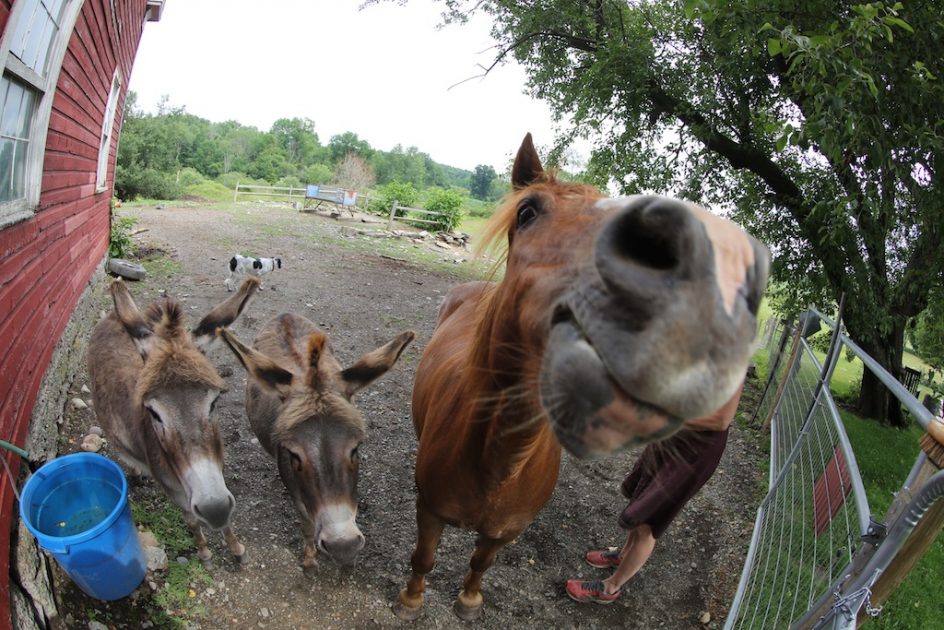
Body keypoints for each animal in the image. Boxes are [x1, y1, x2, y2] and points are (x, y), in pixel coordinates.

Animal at [394, 135, 772, 624]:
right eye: (527, 211)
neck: (499, 462)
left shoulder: (503, 533)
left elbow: (480, 563)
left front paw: (469, 601)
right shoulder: (430, 511)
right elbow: (424, 557)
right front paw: (411, 599)